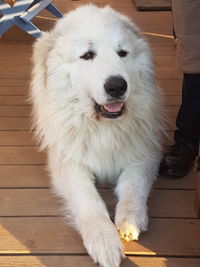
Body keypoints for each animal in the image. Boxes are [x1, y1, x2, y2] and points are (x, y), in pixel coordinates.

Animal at [29, 4, 164, 267]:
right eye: (88, 55)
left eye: (122, 53)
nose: (117, 86)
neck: (102, 128)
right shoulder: (68, 162)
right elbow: (88, 200)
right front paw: (104, 241)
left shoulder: (145, 152)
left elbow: (133, 185)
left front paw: (130, 220)